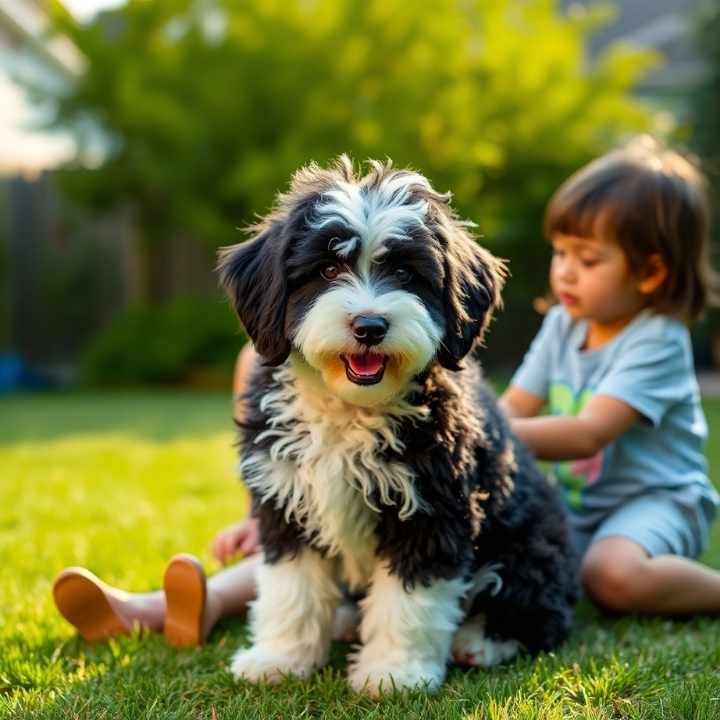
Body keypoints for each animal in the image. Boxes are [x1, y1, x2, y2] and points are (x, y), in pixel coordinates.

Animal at [219, 156, 580, 692]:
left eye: (407, 273)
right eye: (328, 269)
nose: (369, 326)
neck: (350, 409)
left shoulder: (433, 507)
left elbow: (409, 600)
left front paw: (394, 672)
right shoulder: (286, 499)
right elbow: (292, 587)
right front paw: (280, 658)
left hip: (531, 546)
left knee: (538, 613)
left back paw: (480, 642)